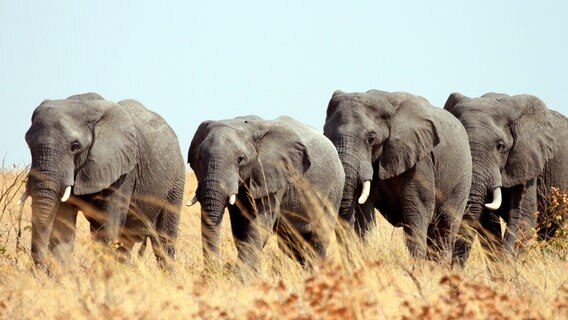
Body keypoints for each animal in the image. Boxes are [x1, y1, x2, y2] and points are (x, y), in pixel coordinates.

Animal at [22, 93, 184, 270]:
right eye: (28, 143)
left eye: (75, 146)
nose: (41, 268)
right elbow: (62, 228)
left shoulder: (122, 172)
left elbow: (107, 227)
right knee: (126, 243)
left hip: (176, 180)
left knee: (164, 241)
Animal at [189, 116, 344, 274]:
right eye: (199, 158)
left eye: (240, 159)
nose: (215, 272)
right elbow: (239, 227)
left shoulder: (274, 174)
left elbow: (258, 224)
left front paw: (242, 277)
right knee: (292, 245)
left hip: (334, 189)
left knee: (318, 238)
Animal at [324, 89, 474, 262]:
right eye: (325, 134)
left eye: (371, 139)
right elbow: (364, 216)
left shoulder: (418, 159)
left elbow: (418, 211)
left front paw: (418, 268)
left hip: (462, 177)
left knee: (447, 226)